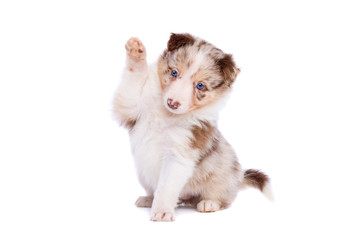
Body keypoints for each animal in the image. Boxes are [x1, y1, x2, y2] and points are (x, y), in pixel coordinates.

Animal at [112, 33, 270, 221]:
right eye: (174, 72)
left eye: (200, 85)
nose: (172, 103)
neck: (168, 115)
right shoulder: (133, 109)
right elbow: (133, 81)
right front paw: (136, 52)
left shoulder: (180, 155)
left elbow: (166, 187)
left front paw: (162, 211)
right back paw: (148, 198)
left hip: (223, 176)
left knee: (225, 198)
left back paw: (209, 203)